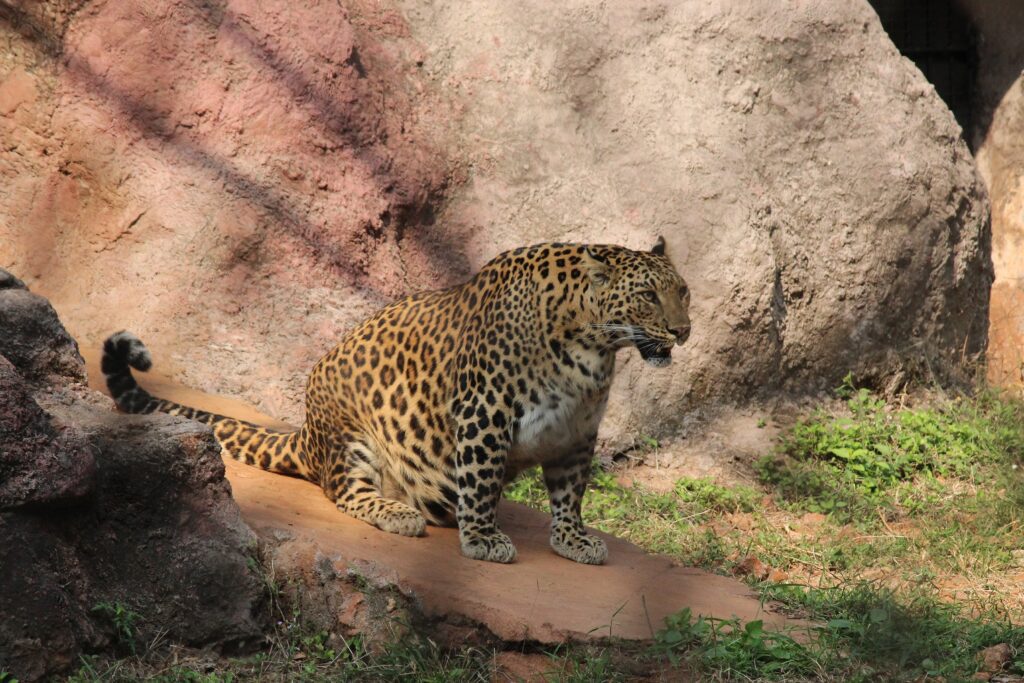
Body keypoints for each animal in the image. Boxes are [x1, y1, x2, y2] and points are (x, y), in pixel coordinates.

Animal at [102, 239, 691, 564]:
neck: (593, 347)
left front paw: (573, 540)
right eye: (647, 296)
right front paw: (483, 540)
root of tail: (307, 431)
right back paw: (401, 513)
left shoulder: (577, 430)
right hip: (353, 438)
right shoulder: (486, 411)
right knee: (344, 492)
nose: (683, 331)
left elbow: (571, 494)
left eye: (682, 291)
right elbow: (481, 479)